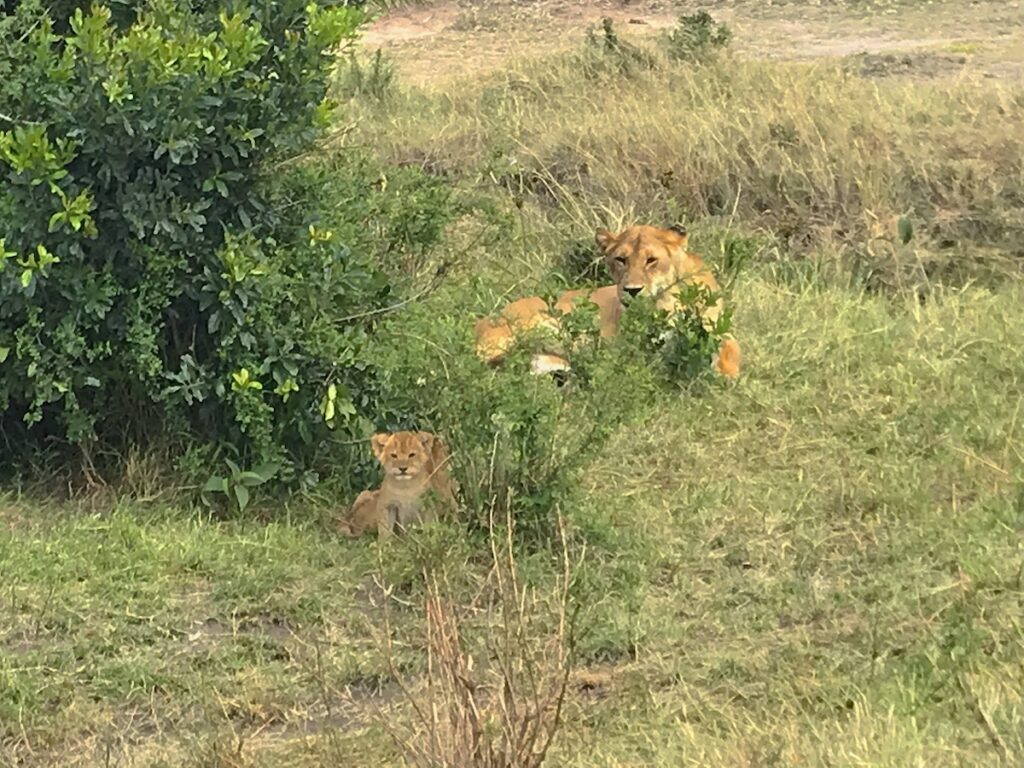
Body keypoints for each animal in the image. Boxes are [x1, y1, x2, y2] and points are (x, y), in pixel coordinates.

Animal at [473, 224, 741, 378]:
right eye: (621, 259)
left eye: (651, 260)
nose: (632, 290)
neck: (665, 303)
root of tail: (481, 323)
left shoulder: (720, 331)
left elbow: (729, 350)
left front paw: (726, 372)